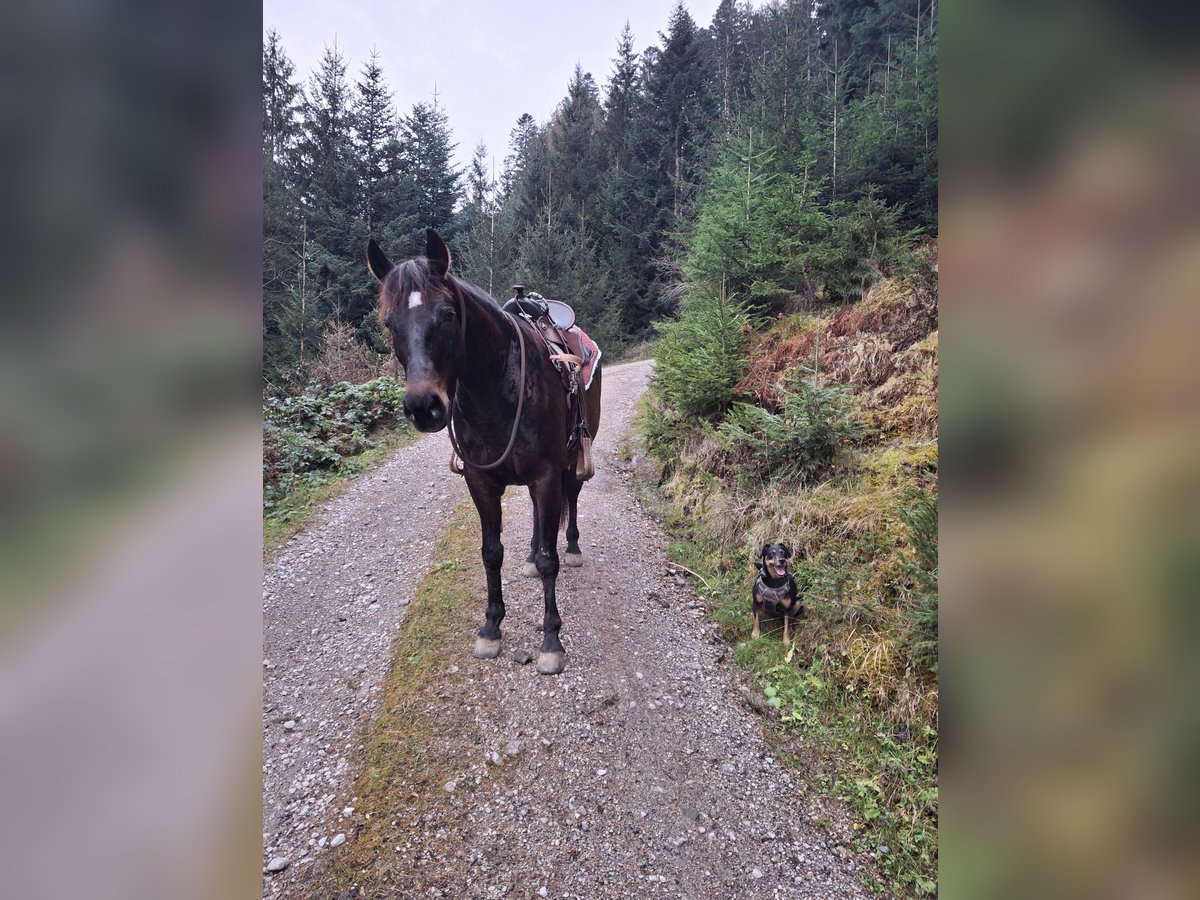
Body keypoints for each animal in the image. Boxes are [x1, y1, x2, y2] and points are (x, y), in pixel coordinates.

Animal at [364, 229, 604, 672]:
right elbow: (491, 553)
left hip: (572, 459)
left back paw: (574, 547)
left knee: (572, 499)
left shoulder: (547, 473)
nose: (423, 406)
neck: (499, 389)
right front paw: (491, 629)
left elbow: (550, 559)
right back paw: (528, 557)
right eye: (389, 323)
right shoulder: (480, 480)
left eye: (447, 314)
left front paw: (551, 641)